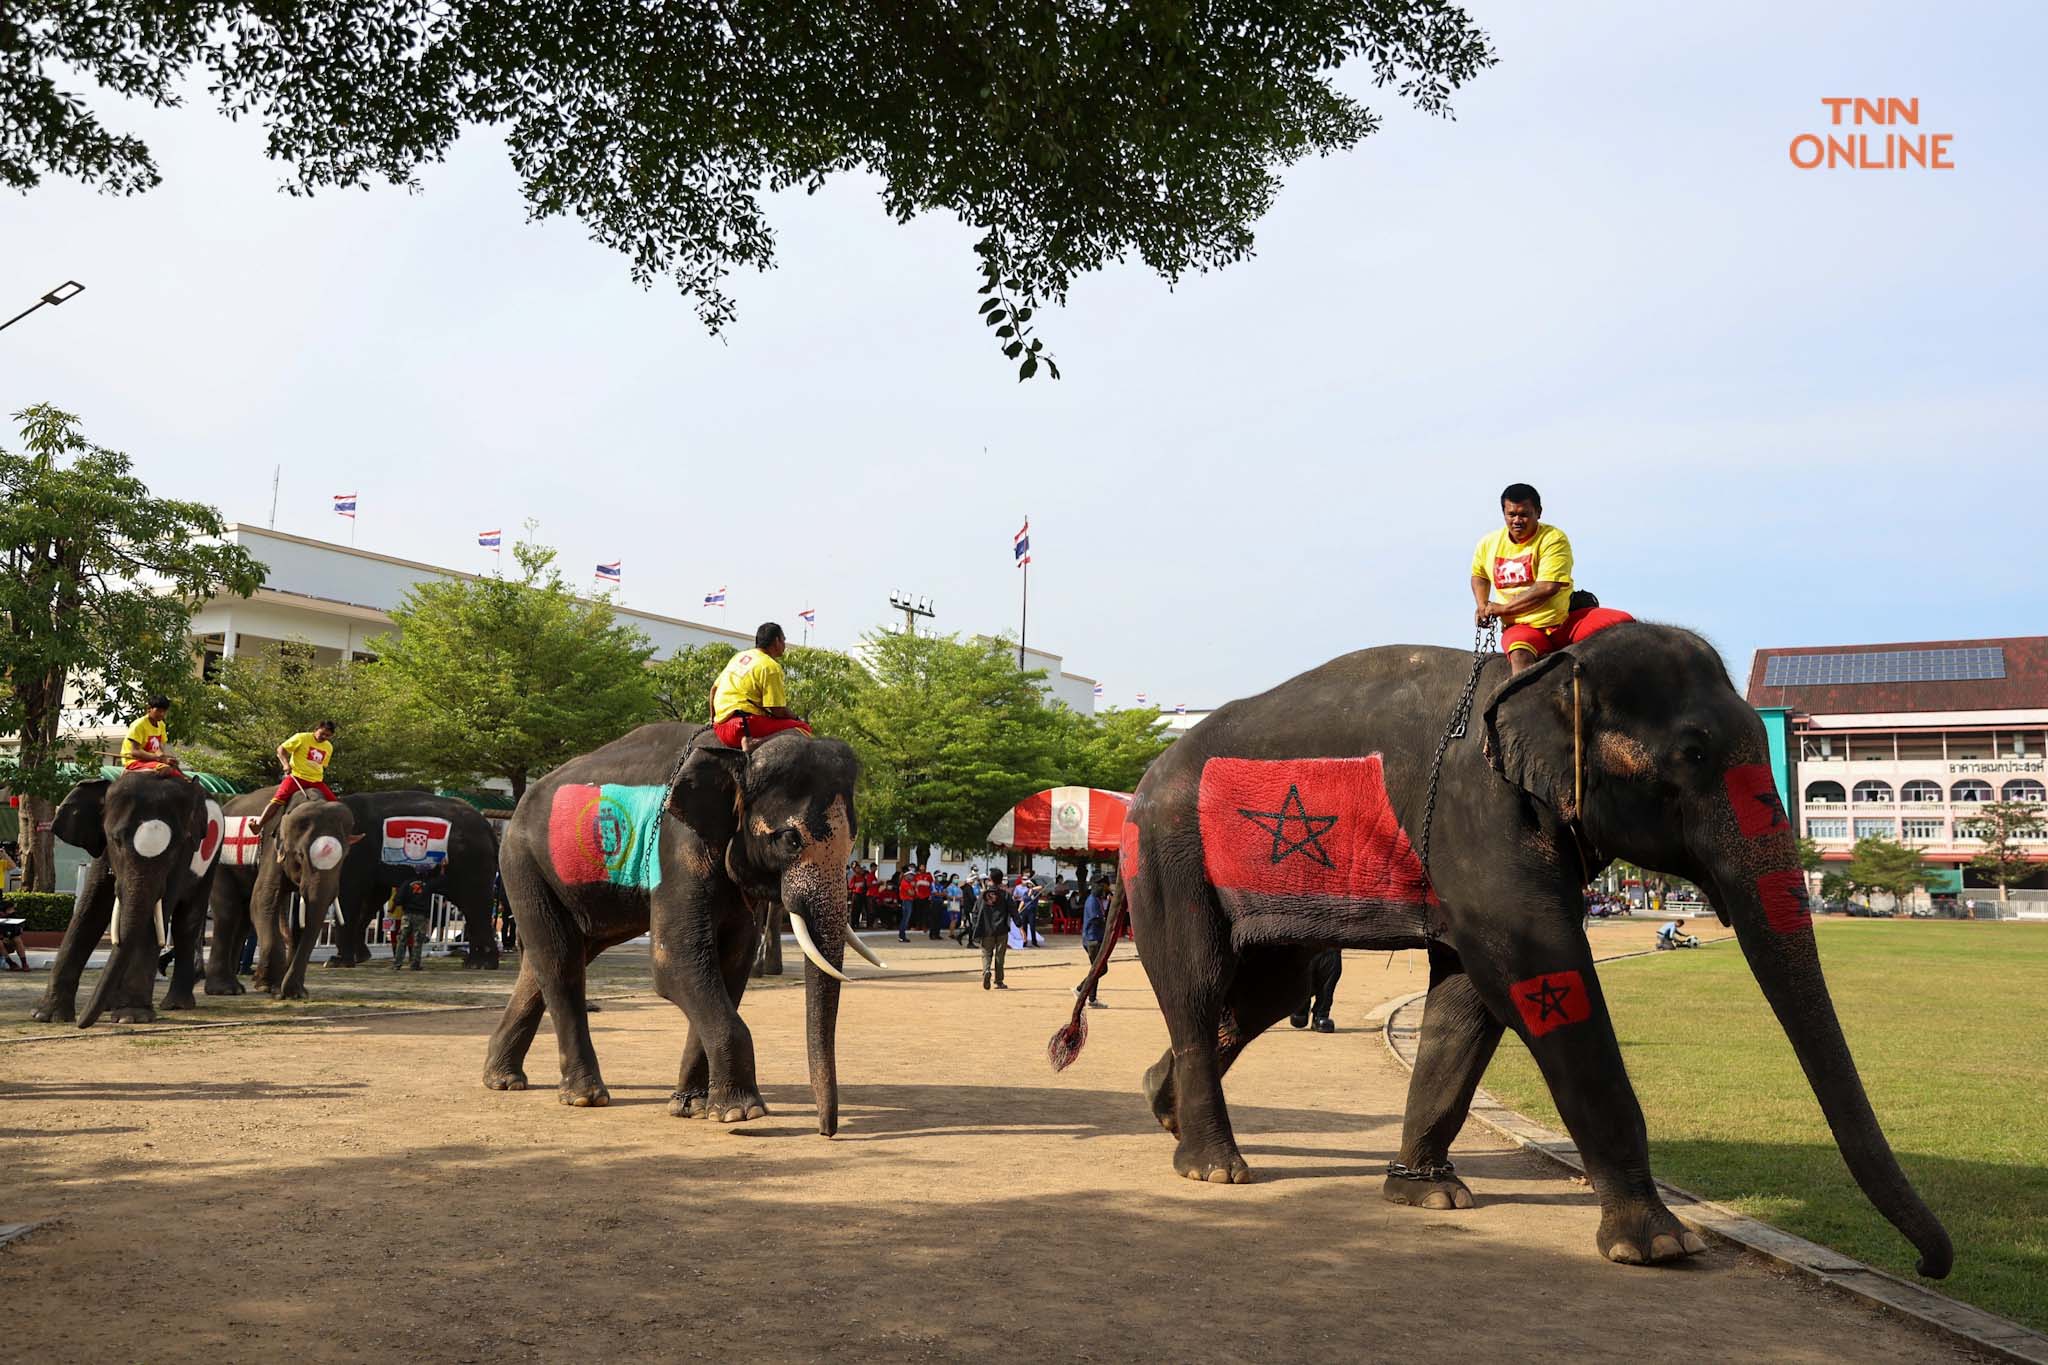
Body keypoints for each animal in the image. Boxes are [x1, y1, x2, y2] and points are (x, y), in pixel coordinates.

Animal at [29, 769, 224, 1023]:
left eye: (176, 846)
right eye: (116, 840)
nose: (82, 1023)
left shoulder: (183, 857)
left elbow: (156, 915)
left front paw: (130, 1017)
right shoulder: (102, 850)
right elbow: (89, 910)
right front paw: (46, 1015)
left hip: (211, 864)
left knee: (186, 922)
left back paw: (175, 1005)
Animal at [203, 785, 499, 998]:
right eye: (298, 857)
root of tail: (490, 828)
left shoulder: (355, 858)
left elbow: (349, 897)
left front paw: (336, 962)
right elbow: (367, 899)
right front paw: (356, 957)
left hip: (472, 862)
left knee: (475, 904)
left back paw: (479, 964)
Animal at [481, 720, 880, 1137]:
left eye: (855, 838)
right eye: (791, 839)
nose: (827, 1130)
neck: (742, 750)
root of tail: (518, 807)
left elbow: (732, 963)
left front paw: (693, 1107)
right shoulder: (678, 844)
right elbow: (674, 961)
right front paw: (743, 1113)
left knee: (550, 960)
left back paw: (504, 1079)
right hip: (522, 864)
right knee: (561, 962)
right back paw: (585, 1096)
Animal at [1056, 622, 1949, 1285]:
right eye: (1693, 754)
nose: (1929, 1265)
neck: (1547, 673)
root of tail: (1145, 775)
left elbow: (1473, 994)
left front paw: (1429, 1197)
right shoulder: (1478, 812)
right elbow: (1537, 969)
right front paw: (1660, 1245)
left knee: (1271, 984)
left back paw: (1163, 1104)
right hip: (1165, 849)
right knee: (1201, 979)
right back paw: (1215, 1168)